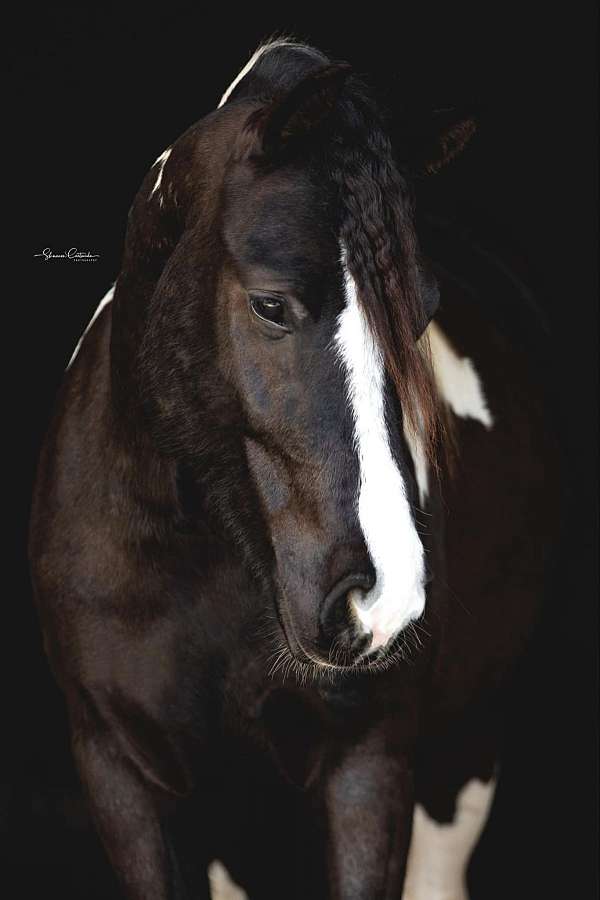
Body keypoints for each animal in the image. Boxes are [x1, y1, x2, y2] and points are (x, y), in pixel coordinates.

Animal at [30, 38, 560, 896]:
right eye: (272, 305)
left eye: (422, 315)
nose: (381, 601)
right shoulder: (119, 773)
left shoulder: (369, 765)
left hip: (464, 758)